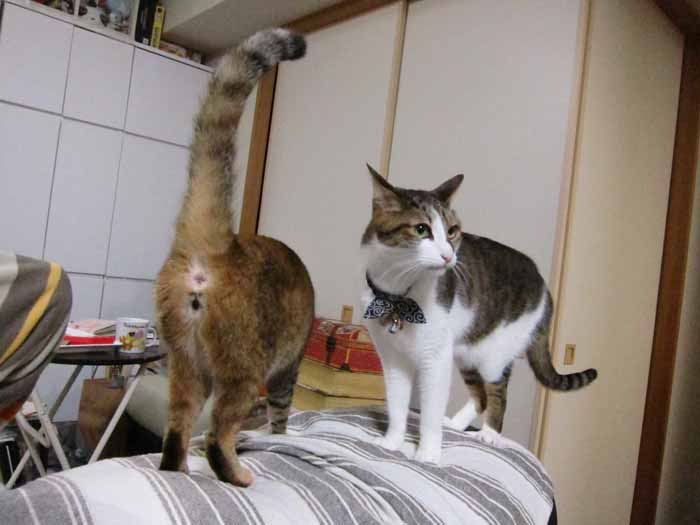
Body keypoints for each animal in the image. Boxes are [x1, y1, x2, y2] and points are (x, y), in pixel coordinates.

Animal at [156, 29, 314, 487]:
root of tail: (221, 245)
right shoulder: (287, 367)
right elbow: (281, 414)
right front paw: (281, 434)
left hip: (185, 362)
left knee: (177, 429)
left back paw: (177, 469)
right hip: (243, 369)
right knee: (216, 434)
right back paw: (238, 475)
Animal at [361, 165, 597, 463]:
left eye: (452, 231)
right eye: (421, 229)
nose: (448, 256)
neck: (397, 295)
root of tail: (544, 285)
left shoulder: (435, 359)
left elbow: (430, 413)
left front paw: (428, 454)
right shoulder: (392, 359)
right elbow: (396, 405)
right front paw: (391, 442)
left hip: (495, 355)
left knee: (497, 394)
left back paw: (489, 434)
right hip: (467, 353)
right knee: (481, 395)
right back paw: (455, 423)